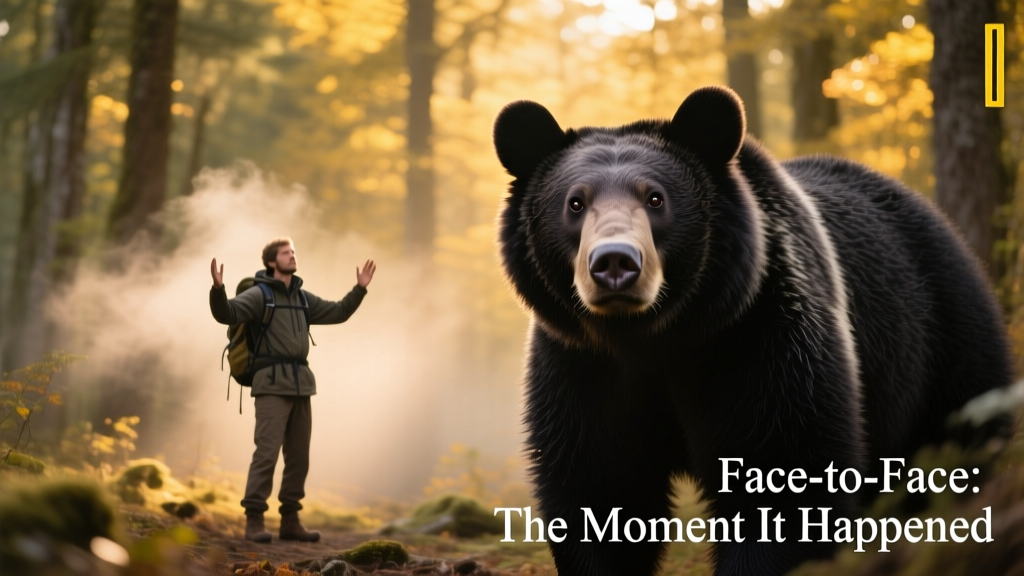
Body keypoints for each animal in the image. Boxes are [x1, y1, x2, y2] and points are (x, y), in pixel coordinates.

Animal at [492, 86, 1013, 576]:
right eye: (575, 202)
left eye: (656, 198)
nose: (615, 263)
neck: (654, 337)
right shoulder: (581, 364)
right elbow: (599, 486)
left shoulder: (760, 338)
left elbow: (782, 476)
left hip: (942, 345)